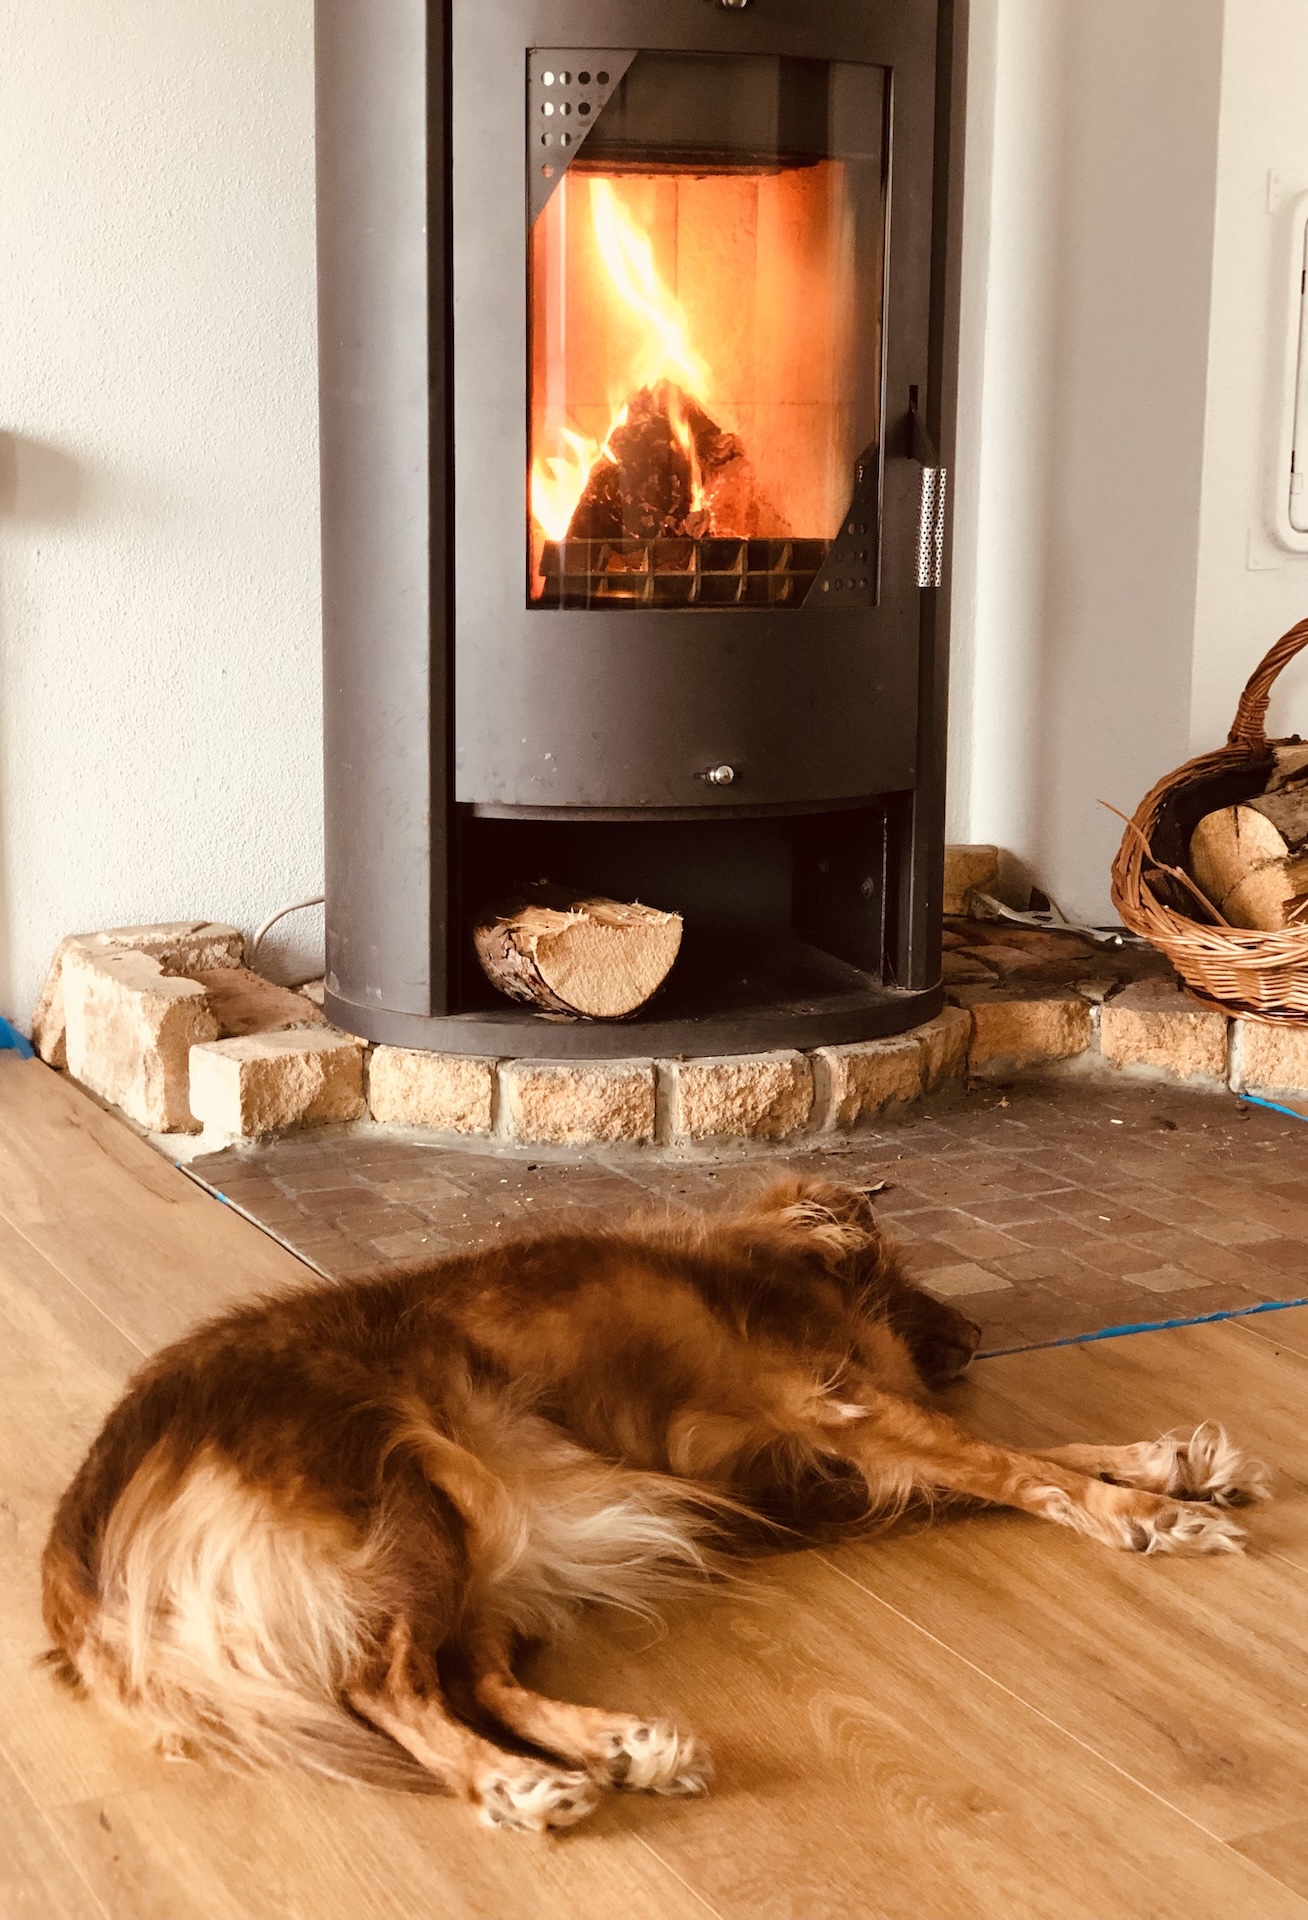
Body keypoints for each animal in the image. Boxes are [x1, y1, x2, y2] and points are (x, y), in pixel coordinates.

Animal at [41, 1177, 1269, 1833]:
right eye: (907, 1279)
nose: (971, 1337)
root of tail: (83, 1523)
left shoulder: (832, 1470)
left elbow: (1021, 1452)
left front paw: (1165, 1462)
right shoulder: (837, 1407)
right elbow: (1013, 1462)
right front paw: (1141, 1513)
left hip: (498, 1540)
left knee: (473, 1675)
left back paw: (624, 1746)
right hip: (412, 1507)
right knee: (387, 1685)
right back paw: (514, 1785)